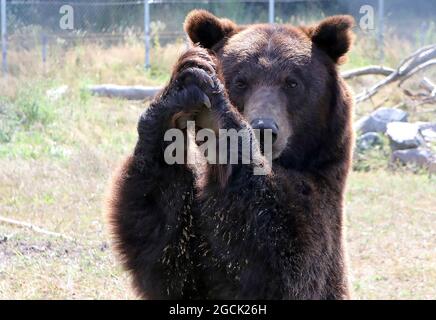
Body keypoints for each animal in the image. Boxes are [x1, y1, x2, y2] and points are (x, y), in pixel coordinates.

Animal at [105, 10, 354, 300]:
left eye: (292, 82)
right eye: (241, 80)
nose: (264, 129)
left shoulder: (321, 195)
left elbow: (287, 257)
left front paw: (217, 115)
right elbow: (162, 243)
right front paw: (185, 79)